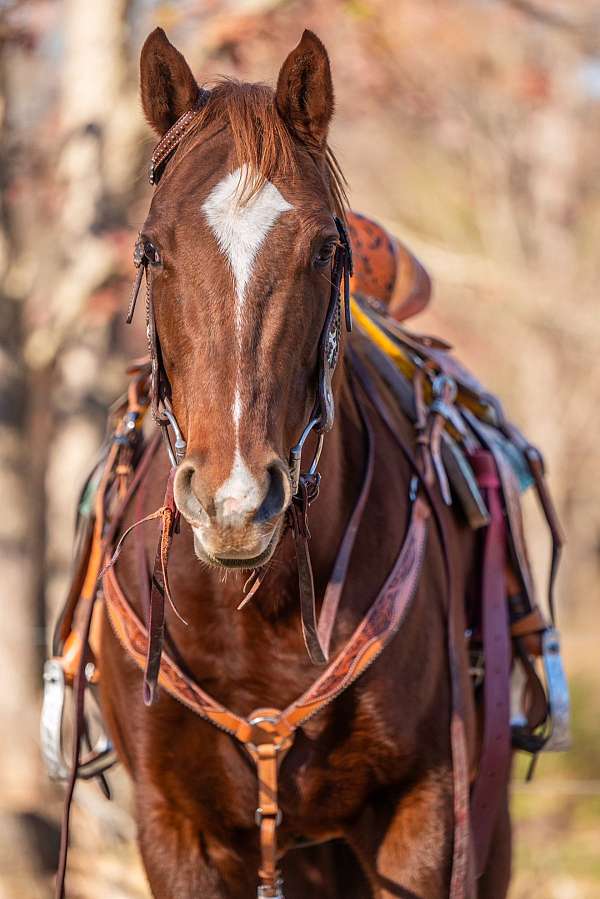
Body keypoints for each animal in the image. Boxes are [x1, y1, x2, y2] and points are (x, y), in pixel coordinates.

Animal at [96, 24, 512, 896]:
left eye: (325, 248)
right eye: (150, 250)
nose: (234, 501)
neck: (257, 611)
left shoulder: (425, 813)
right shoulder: (172, 829)